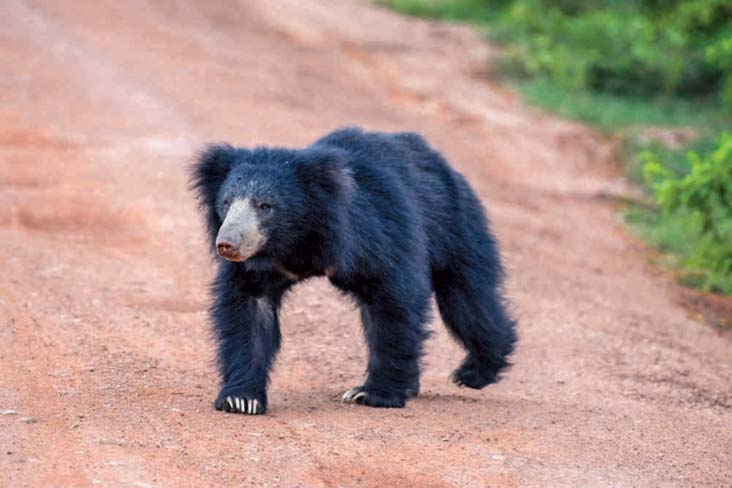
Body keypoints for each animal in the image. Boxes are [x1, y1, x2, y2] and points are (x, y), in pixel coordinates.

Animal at [192, 127, 516, 416]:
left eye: (265, 206)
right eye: (226, 203)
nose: (227, 244)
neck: (297, 242)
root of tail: (444, 165)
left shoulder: (374, 233)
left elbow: (393, 301)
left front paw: (373, 394)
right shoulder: (260, 266)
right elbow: (249, 311)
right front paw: (241, 399)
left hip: (455, 226)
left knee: (467, 301)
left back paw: (474, 372)